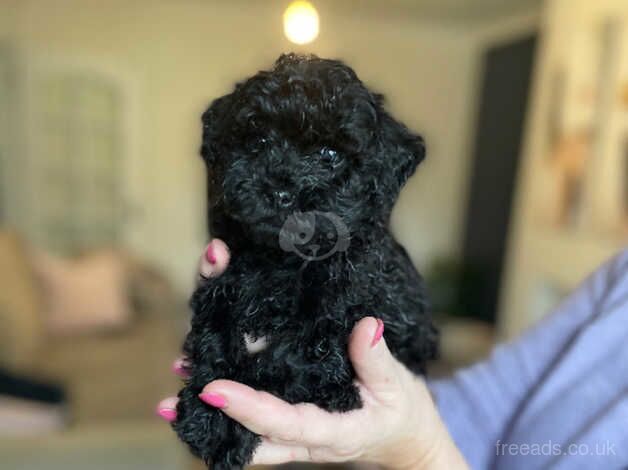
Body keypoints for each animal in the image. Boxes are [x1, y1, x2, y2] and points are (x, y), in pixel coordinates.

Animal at [172, 53, 436, 468]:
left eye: (330, 156)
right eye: (260, 141)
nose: (280, 191)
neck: (287, 258)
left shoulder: (332, 338)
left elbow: (277, 367)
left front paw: (222, 422)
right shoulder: (225, 283)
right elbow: (214, 335)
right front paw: (208, 412)